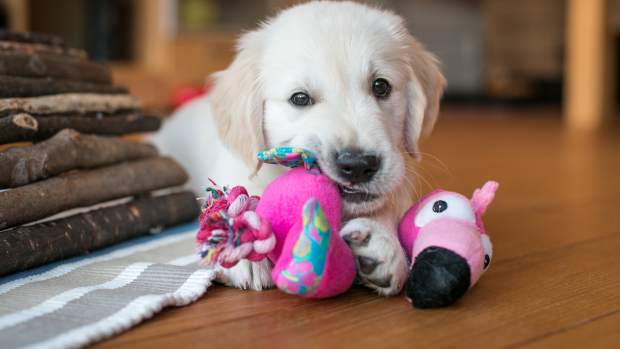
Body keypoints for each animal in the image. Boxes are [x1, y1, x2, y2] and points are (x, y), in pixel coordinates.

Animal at [154, 0, 446, 294]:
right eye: (300, 98)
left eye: (381, 86)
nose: (358, 165)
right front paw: (242, 245)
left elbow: (388, 205)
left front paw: (381, 242)